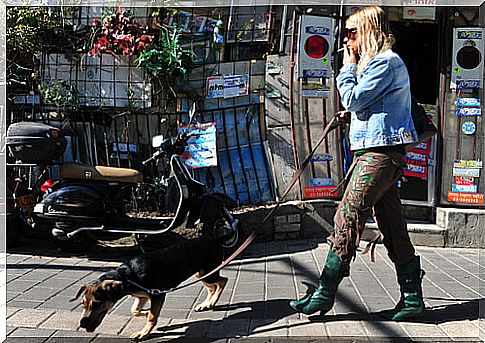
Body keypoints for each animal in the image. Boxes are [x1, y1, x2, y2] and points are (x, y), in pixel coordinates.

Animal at [72, 231, 236, 342]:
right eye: (83, 304)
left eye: (97, 304)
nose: (82, 323)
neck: (128, 276)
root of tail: (215, 239)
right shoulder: (142, 296)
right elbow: (135, 310)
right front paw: (145, 313)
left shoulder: (157, 295)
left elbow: (151, 316)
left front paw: (143, 333)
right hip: (201, 273)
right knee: (212, 287)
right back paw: (207, 304)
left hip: (208, 272)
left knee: (223, 281)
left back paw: (212, 301)